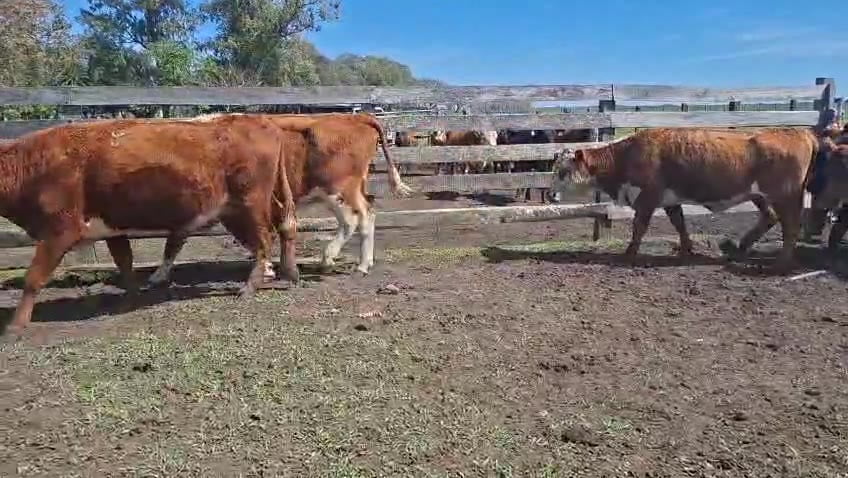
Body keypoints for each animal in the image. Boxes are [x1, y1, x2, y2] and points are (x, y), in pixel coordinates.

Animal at [0, 114, 291, 336]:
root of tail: (256, 119)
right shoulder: (112, 229)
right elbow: (125, 264)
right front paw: (131, 298)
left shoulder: (59, 230)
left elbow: (33, 277)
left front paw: (15, 326)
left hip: (250, 203)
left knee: (264, 239)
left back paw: (250, 286)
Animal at [144, 112, 413, 288]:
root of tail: (355, 117)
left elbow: (175, 240)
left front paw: (158, 275)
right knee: (366, 215)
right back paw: (360, 262)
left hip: (339, 188)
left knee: (355, 218)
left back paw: (341, 261)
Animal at [549, 127, 821, 271]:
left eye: (563, 171)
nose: (551, 195)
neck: (626, 156)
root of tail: (798, 131)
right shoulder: (670, 201)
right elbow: (679, 224)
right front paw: (686, 249)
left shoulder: (648, 198)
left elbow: (639, 227)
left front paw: (629, 253)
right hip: (760, 195)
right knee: (770, 217)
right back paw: (740, 247)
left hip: (784, 195)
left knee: (790, 225)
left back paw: (782, 261)